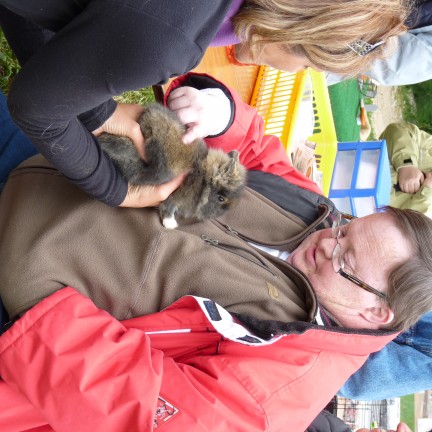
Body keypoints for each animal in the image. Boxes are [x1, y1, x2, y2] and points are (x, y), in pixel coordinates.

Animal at [97, 102, 247, 229]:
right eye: (221, 198)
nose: (214, 216)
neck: (200, 178)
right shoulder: (173, 198)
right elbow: (168, 208)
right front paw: (170, 224)